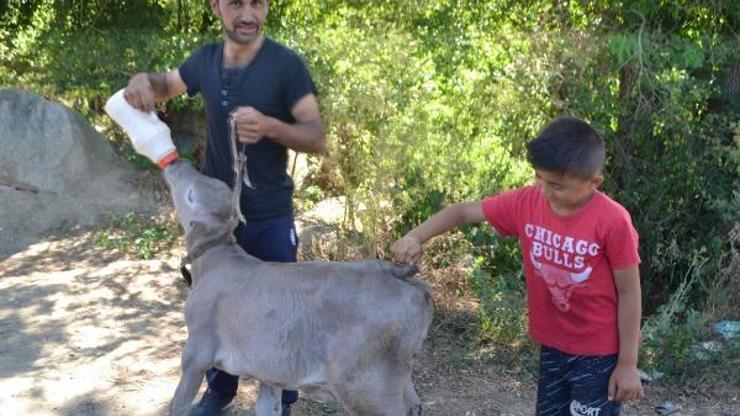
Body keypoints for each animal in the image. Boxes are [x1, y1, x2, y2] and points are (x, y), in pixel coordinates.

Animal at [164, 160, 430, 416]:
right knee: (415, 406)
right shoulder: (269, 373)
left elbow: (178, 404)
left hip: (367, 385)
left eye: (190, 195)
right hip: (399, 376)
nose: (178, 163)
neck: (216, 260)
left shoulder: (197, 351)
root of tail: (394, 271)